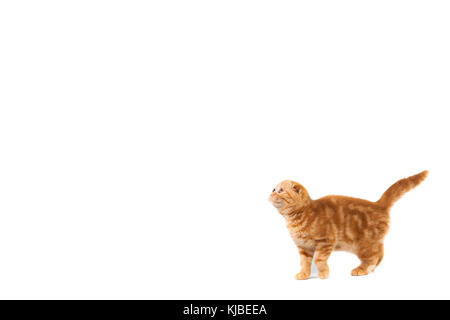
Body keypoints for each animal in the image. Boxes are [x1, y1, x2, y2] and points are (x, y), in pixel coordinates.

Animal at [268, 171, 428, 278]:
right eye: (273, 189)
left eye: (280, 190)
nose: (270, 193)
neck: (298, 216)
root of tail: (378, 204)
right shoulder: (304, 248)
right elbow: (305, 262)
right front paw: (304, 274)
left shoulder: (326, 241)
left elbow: (319, 260)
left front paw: (323, 273)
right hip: (372, 242)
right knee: (380, 253)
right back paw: (371, 269)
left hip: (364, 245)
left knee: (373, 256)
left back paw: (362, 269)